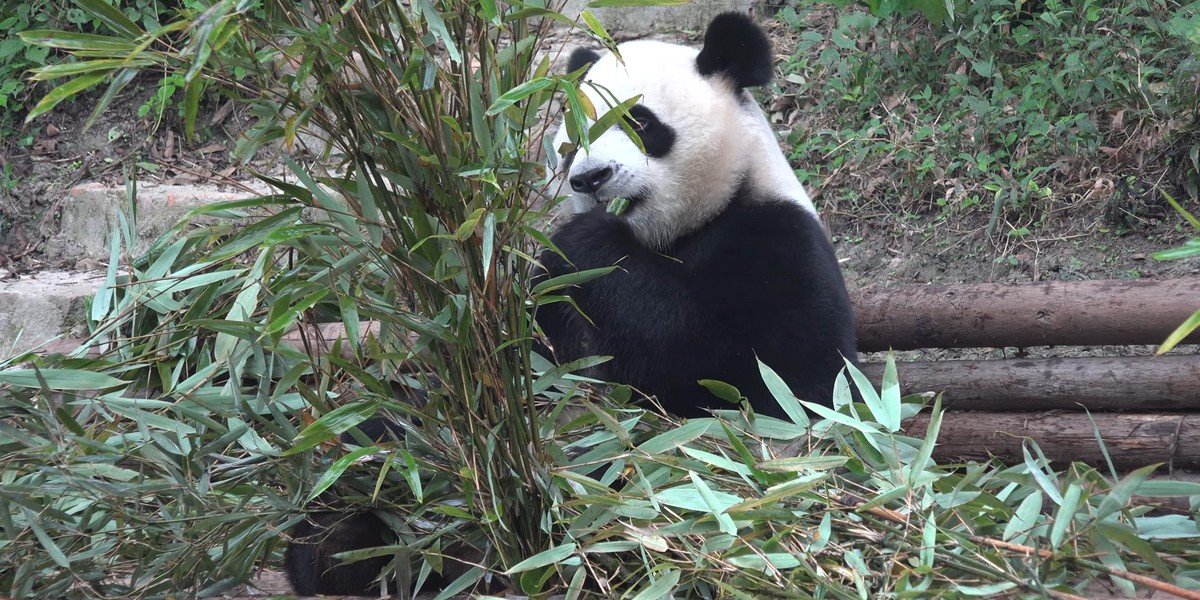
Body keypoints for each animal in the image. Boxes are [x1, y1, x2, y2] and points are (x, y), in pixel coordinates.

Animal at [537, 12, 858, 419]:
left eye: (639, 123)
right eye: (575, 138)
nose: (590, 178)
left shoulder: (783, 241)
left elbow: (784, 376)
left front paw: (584, 241)